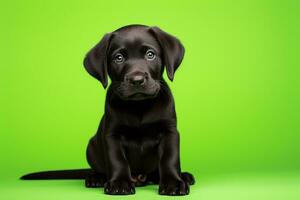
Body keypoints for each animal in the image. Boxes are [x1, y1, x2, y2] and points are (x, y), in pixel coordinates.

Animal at [21, 24, 195, 195]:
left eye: (150, 55)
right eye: (118, 58)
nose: (137, 80)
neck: (139, 107)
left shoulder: (169, 131)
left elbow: (169, 158)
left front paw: (173, 183)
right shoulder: (112, 134)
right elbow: (117, 159)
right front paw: (119, 183)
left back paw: (183, 176)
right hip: (91, 146)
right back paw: (96, 178)